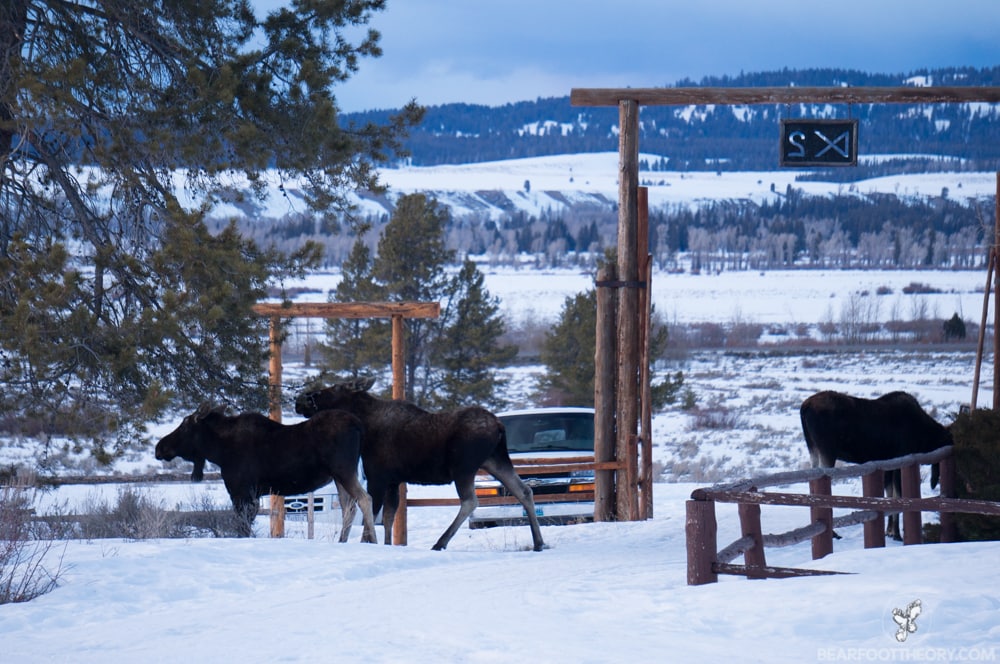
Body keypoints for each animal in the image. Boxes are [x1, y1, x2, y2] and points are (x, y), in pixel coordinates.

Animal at [154, 402, 376, 544]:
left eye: (185, 426)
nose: (159, 447)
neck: (219, 451)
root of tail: (360, 426)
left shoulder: (242, 491)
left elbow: (243, 526)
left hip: (343, 470)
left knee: (365, 498)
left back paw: (372, 539)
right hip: (338, 476)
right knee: (349, 506)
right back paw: (342, 539)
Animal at [796, 390, 952, 540]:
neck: (924, 436)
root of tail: (804, 407)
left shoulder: (888, 464)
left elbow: (888, 495)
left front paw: (888, 531)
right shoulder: (901, 460)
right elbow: (898, 497)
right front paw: (896, 533)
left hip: (813, 450)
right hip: (827, 452)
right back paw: (832, 533)